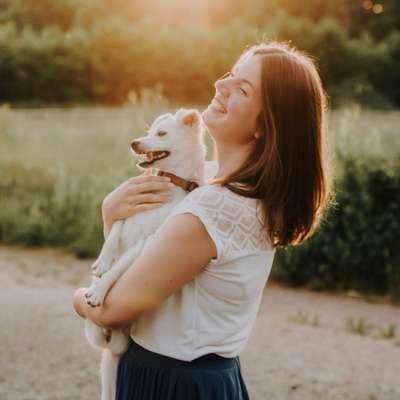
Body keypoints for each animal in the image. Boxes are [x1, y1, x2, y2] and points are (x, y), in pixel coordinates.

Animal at [82, 108, 206, 400]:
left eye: (161, 134)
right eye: (149, 132)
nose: (134, 143)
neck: (168, 181)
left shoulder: (145, 242)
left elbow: (117, 271)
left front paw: (99, 290)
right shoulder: (126, 208)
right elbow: (113, 235)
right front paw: (103, 262)